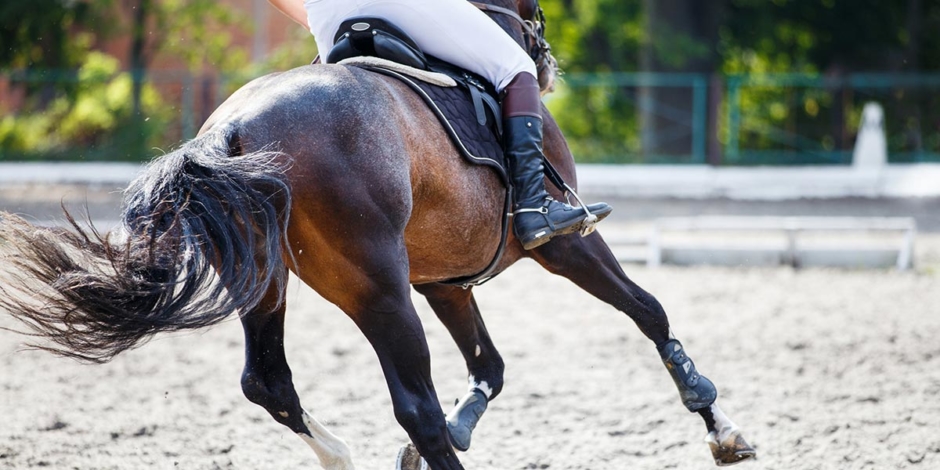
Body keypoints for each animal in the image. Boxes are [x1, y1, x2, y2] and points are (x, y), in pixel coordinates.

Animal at [0, 1, 756, 468]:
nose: (543, 58)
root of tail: (230, 128)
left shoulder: (444, 279)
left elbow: (489, 366)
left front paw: (458, 429)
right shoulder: (563, 244)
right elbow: (649, 311)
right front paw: (720, 428)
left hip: (269, 281)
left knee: (268, 381)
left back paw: (341, 453)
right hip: (376, 289)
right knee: (412, 403)